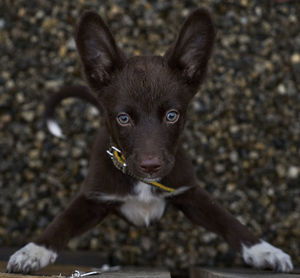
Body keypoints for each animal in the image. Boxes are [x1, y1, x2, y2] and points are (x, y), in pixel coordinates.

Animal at [7, 8, 292, 274]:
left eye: (172, 115)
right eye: (123, 118)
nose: (151, 166)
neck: (142, 182)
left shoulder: (189, 192)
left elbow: (226, 219)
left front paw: (265, 251)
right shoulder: (93, 197)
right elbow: (62, 222)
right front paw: (32, 251)